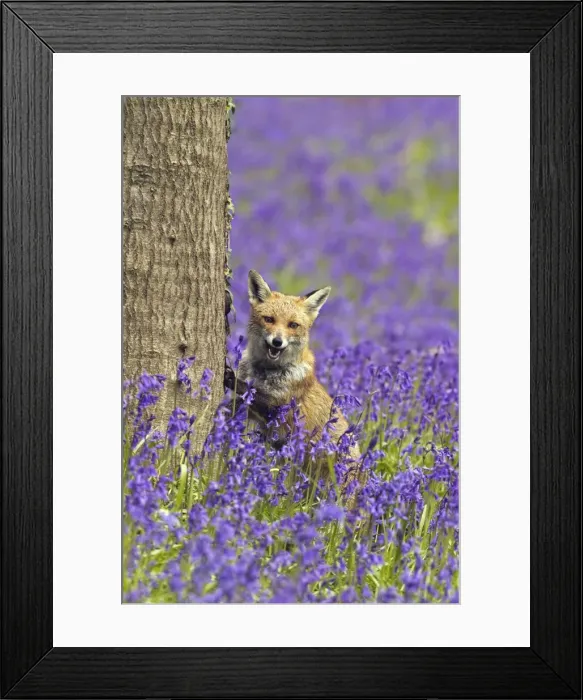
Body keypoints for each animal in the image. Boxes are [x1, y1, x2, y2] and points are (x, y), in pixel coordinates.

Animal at [225, 270, 361, 500]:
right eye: (269, 320)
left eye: (293, 325)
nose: (277, 342)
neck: (266, 372)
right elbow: (240, 402)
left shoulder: (281, 407)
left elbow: (252, 391)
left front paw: (231, 379)